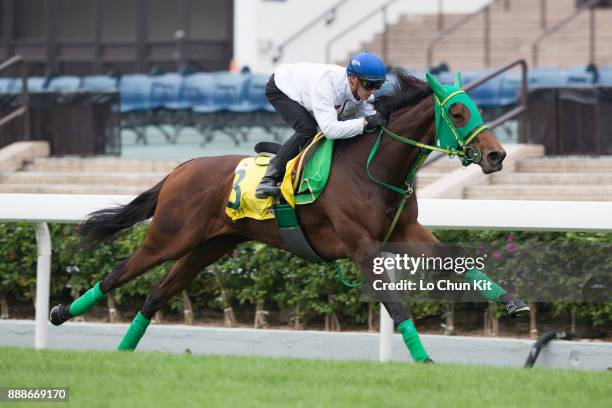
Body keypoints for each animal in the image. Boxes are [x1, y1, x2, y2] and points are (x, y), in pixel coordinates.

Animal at [49, 71, 520, 362]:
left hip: (209, 247)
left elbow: (457, 261)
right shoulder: (362, 247)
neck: (372, 165)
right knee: (118, 274)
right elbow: (396, 305)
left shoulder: (403, 230)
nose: (497, 155)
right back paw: (60, 314)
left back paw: (123, 352)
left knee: (155, 295)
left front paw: (510, 301)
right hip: (169, 237)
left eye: (477, 109)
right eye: (458, 113)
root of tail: (181, 169)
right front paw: (424, 360)